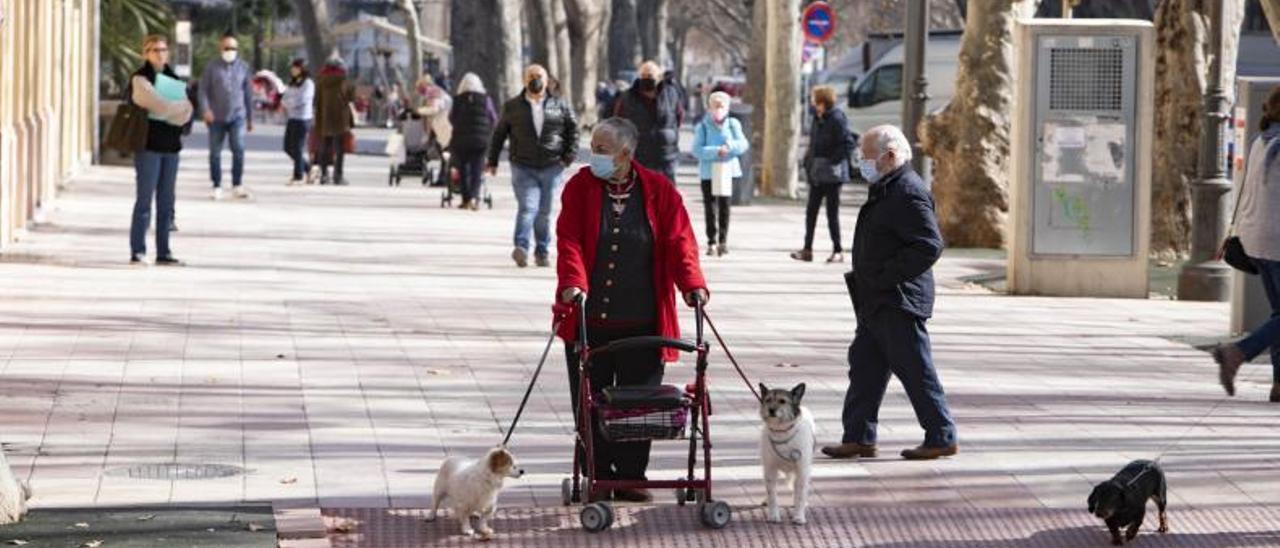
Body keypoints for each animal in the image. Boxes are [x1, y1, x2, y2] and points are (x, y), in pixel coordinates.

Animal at [752, 384, 814, 524]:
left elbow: (800, 494)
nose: (771, 410)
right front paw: (773, 515)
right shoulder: (770, 468)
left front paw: (799, 516)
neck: (782, 432)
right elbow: (772, 494)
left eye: (782, 401)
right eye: (768, 400)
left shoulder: (802, 469)